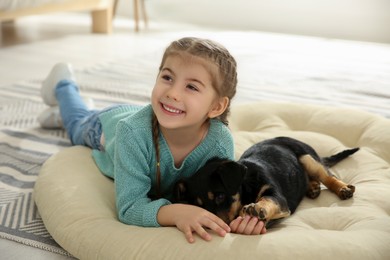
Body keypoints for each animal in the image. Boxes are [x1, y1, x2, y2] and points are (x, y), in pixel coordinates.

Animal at [175, 137, 358, 226]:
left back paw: (343, 189)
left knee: (328, 176)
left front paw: (256, 209)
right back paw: (312, 188)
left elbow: (267, 199)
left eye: (220, 196)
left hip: (308, 158)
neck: (246, 186)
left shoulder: (276, 196)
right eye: (198, 206)